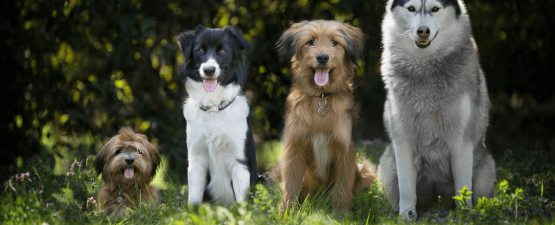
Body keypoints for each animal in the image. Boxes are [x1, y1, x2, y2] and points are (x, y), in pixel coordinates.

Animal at [270, 20, 376, 214]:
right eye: (311, 41)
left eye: (334, 42)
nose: (322, 58)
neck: (321, 98)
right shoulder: (295, 148)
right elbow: (291, 186)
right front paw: (286, 214)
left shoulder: (345, 150)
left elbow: (342, 188)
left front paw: (340, 215)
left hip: (366, 169)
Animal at [380, 0, 498, 221]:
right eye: (411, 8)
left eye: (435, 9)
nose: (423, 31)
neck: (424, 67)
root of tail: (436, 202)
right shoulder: (402, 140)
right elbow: (406, 190)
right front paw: (406, 218)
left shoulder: (461, 141)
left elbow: (463, 189)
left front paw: (463, 218)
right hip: (387, 165)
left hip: (486, 169)